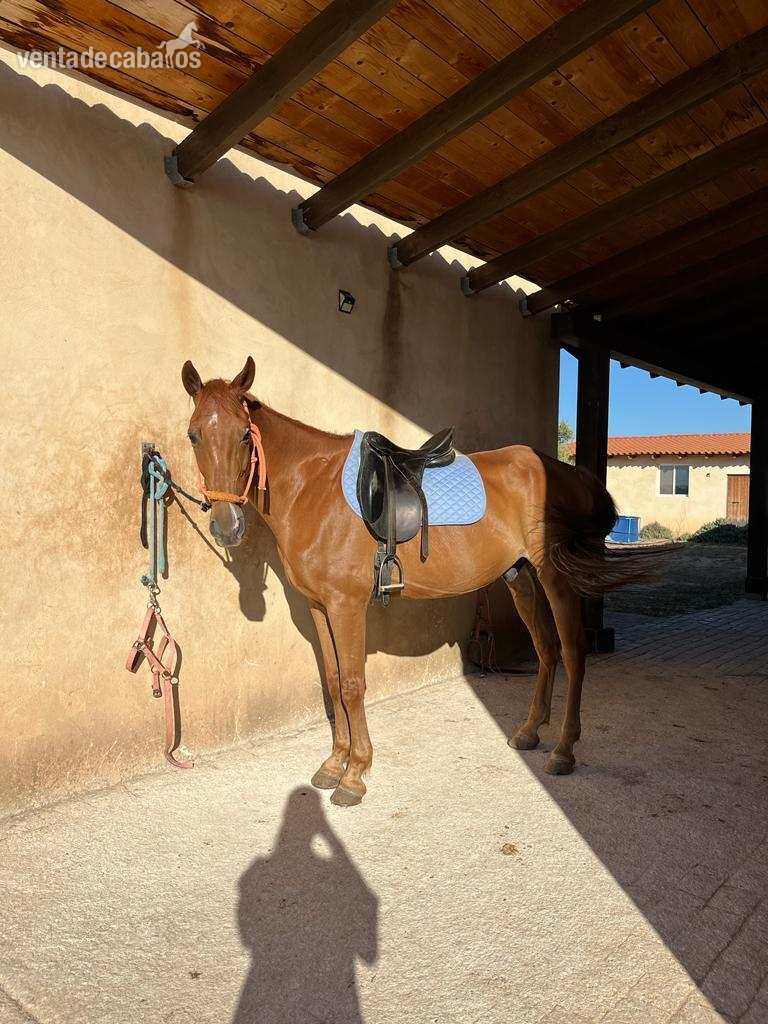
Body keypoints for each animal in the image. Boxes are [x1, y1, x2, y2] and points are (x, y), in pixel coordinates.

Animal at [182, 356, 643, 806]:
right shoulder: (318, 606)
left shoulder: (346, 606)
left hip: (556, 579)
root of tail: (570, 473)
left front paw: (354, 774)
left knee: (573, 652)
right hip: (522, 578)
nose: (226, 526)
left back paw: (563, 750)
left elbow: (351, 685)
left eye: (245, 435)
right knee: (547, 649)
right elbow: (332, 681)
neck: (311, 487)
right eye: (193, 435)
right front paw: (334, 764)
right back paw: (529, 732)